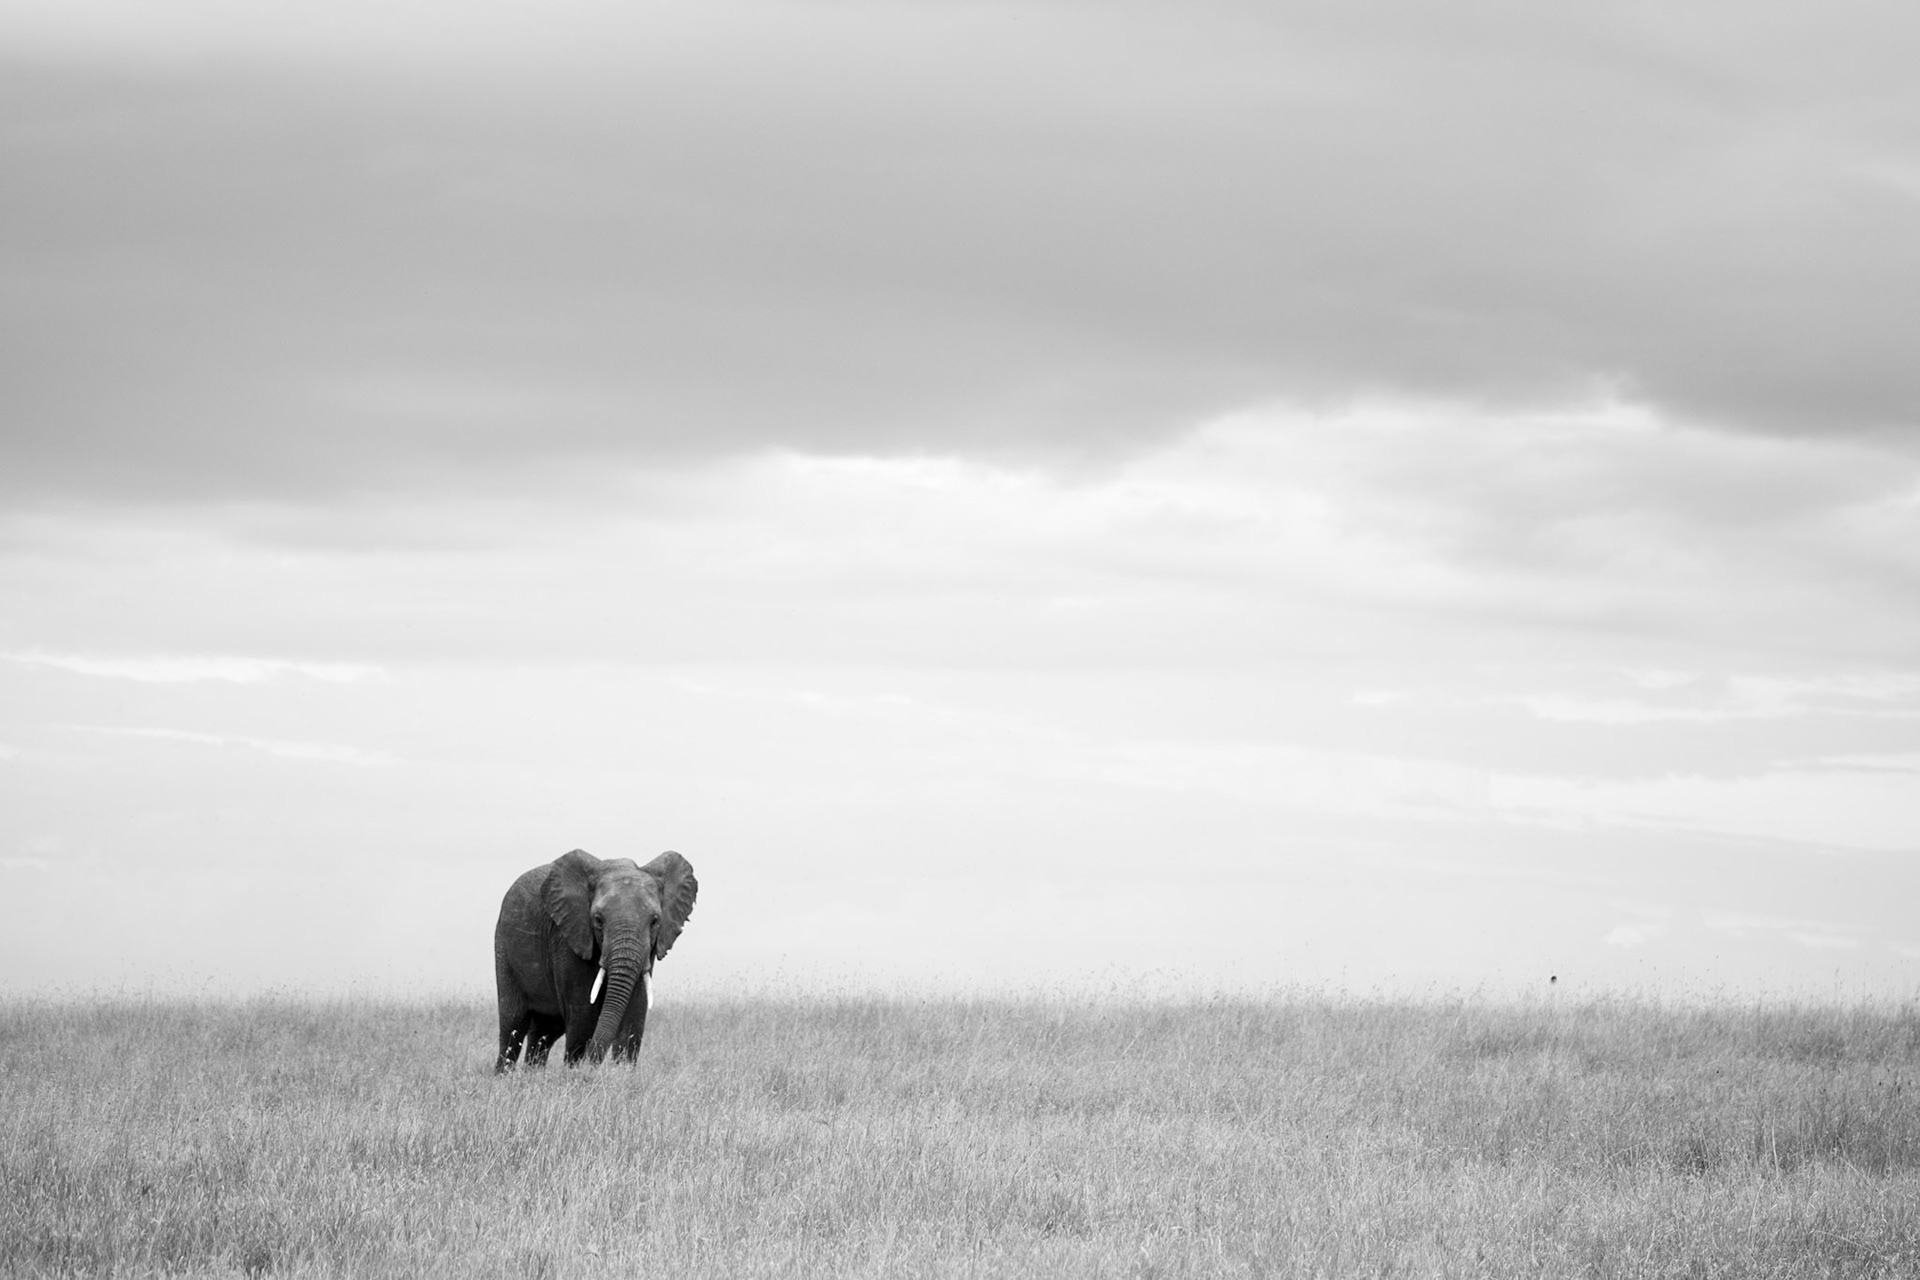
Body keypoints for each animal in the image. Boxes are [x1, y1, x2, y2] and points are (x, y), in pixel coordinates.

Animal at [493, 848, 697, 1071]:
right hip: (503, 947)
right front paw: (575, 1072)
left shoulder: (649, 948)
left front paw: (621, 1073)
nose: (593, 1066)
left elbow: (634, 1015)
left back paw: (533, 1073)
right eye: (598, 920)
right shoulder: (568, 935)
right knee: (513, 1024)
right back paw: (503, 1075)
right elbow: (583, 1015)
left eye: (654, 921)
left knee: (544, 1031)